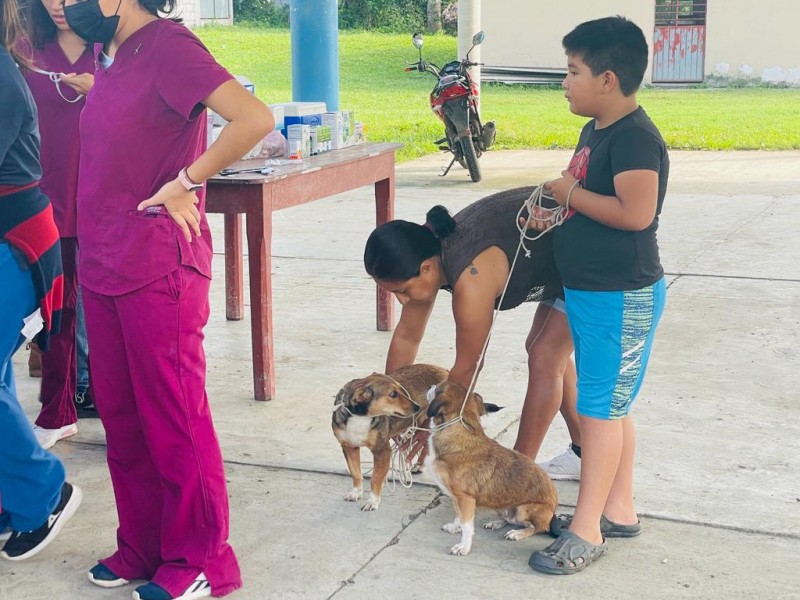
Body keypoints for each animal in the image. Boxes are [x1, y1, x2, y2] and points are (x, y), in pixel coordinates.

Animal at [328, 364, 446, 508]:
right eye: (393, 394)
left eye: (401, 389)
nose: (417, 407)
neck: (360, 416)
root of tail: (444, 370)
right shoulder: (349, 447)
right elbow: (355, 473)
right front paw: (356, 493)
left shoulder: (382, 450)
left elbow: (375, 478)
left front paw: (372, 501)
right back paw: (419, 465)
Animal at [424, 382, 556, 556]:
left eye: (438, 388)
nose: (431, 385)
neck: (460, 430)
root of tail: (553, 512)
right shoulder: (458, 498)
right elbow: (459, 515)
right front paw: (455, 526)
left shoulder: (466, 499)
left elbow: (467, 526)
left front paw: (464, 546)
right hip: (502, 507)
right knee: (509, 520)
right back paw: (496, 523)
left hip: (523, 510)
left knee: (536, 528)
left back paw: (518, 533)